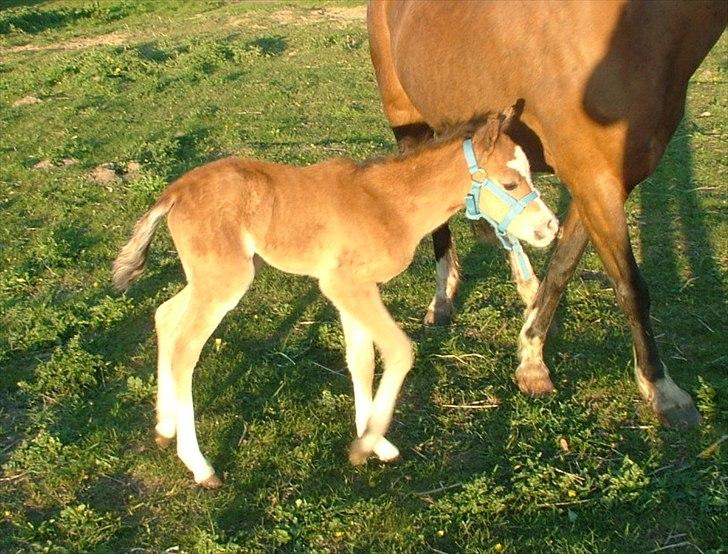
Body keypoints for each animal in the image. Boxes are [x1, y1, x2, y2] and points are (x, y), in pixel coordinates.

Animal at [112, 111, 558, 487]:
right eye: (511, 183)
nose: (550, 227)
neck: (389, 204)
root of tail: (175, 190)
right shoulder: (344, 285)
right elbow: (399, 352)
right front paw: (365, 446)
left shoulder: (352, 289)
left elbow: (361, 360)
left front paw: (375, 441)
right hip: (225, 280)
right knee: (185, 348)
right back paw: (200, 466)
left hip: (214, 276)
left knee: (165, 316)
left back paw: (164, 427)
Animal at [367, 0, 727, 427]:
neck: (636, 27)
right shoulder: (594, 179)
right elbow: (631, 287)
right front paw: (661, 388)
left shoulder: (602, 183)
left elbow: (562, 266)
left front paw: (532, 357)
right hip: (408, 120)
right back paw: (442, 300)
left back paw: (525, 286)